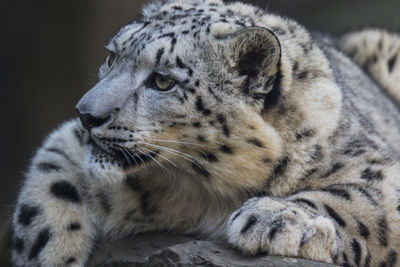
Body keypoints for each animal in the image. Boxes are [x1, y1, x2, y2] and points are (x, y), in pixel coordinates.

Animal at [10, 0, 400, 267]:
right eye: (111, 57)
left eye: (162, 80)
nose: (86, 115)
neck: (199, 195)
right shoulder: (66, 143)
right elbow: (46, 198)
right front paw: (50, 255)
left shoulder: (379, 166)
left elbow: (357, 196)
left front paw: (274, 218)